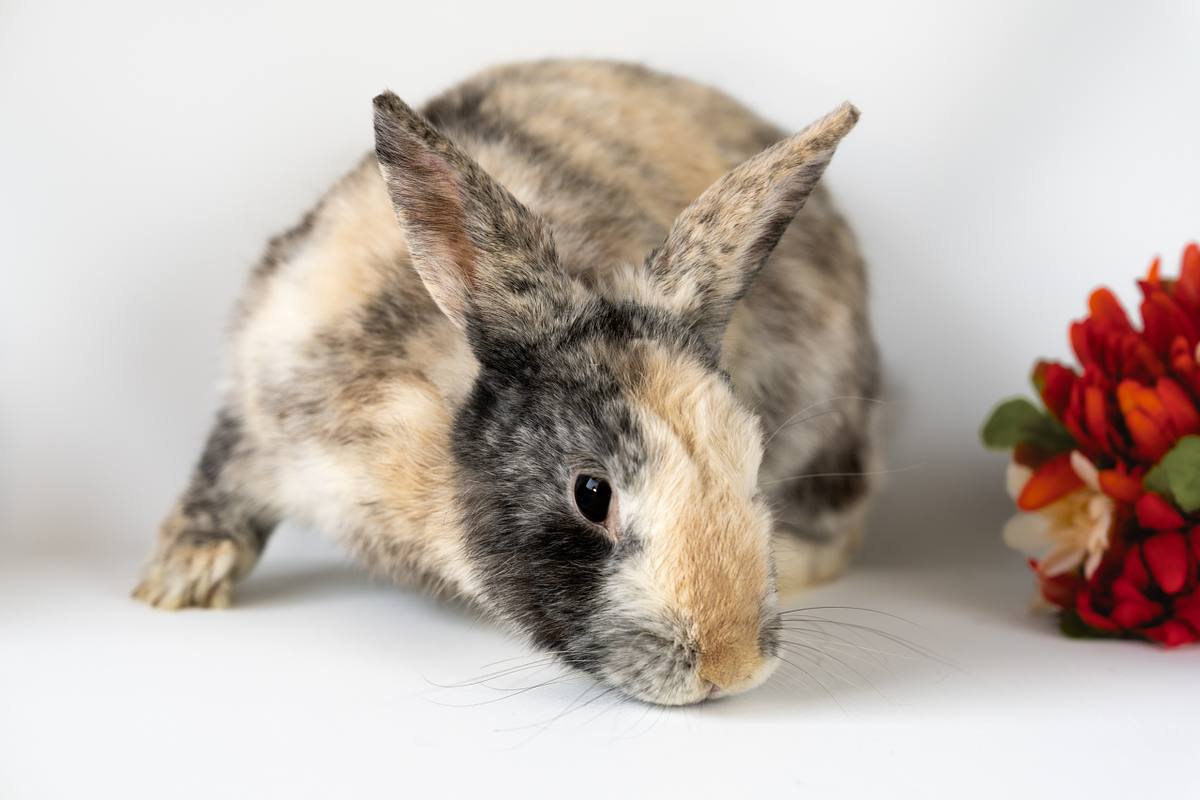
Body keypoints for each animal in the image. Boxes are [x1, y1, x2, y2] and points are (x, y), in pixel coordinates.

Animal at [132, 60, 880, 706]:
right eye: (591, 494)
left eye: (751, 466)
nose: (733, 665)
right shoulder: (260, 402)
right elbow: (220, 482)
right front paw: (178, 580)